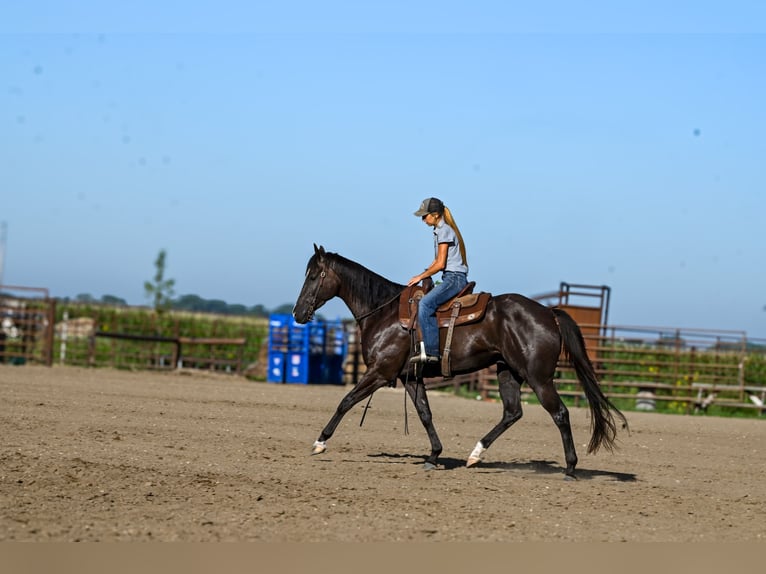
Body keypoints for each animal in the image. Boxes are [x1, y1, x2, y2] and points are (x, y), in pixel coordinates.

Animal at [292, 245, 627, 478]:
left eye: (314, 275)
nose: (297, 313)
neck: (383, 313)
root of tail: (548, 313)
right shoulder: (410, 378)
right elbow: (425, 414)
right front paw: (434, 455)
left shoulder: (380, 372)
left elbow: (345, 401)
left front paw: (320, 442)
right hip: (508, 372)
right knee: (512, 412)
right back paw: (475, 454)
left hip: (539, 378)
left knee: (559, 413)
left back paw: (570, 468)